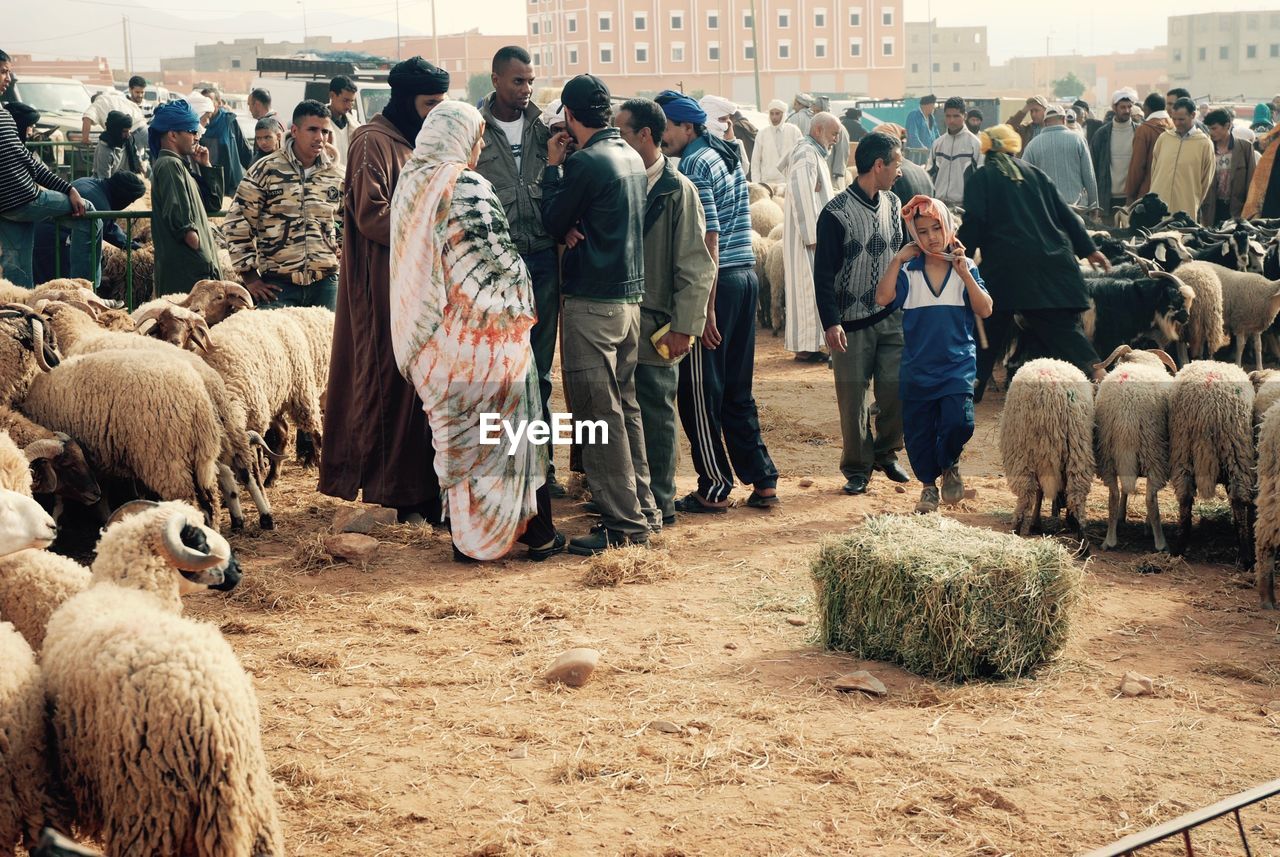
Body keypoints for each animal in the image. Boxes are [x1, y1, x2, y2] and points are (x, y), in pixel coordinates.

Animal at [993, 358, 1095, 539]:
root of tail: (1055, 394)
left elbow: (1039, 492)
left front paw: (1035, 524)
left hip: (1024, 451)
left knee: (1026, 493)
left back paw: (1016, 527)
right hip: (1078, 445)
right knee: (1077, 490)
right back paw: (1082, 535)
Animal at [1095, 347, 1172, 555]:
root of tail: (1127, 410)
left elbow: (1124, 489)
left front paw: (1122, 516)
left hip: (1107, 453)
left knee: (1113, 495)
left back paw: (1109, 541)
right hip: (1154, 451)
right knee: (1151, 499)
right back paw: (1160, 543)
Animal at [1167, 360, 1254, 567]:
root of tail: (1209, 405)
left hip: (1182, 447)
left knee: (1185, 497)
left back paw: (1178, 549)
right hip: (1236, 450)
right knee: (1238, 500)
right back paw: (1245, 556)